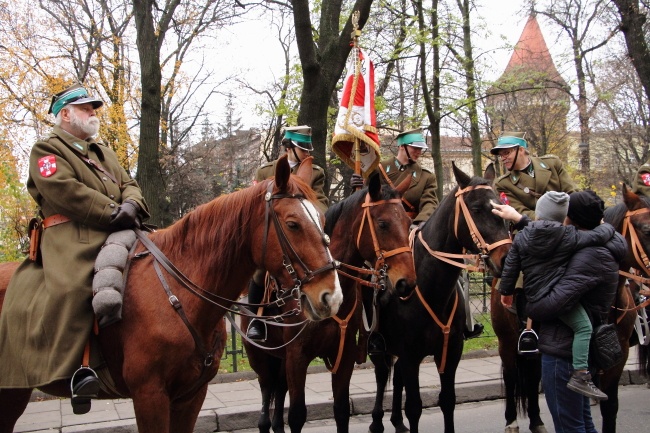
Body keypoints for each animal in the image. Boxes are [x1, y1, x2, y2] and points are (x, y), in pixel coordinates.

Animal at [0, 157, 342, 432]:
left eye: (324, 220)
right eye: (293, 224)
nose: (332, 297)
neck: (179, 294)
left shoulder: (191, 396)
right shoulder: (150, 395)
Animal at [239, 172, 416, 432]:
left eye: (407, 223)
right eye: (383, 224)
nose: (408, 282)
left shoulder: (344, 356)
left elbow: (341, 411)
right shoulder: (297, 356)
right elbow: (297, 415)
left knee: (278, 393)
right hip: (259, 358)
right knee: (266, 400)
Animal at [364, 162, 512, 432]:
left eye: (500, 207)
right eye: (476, 208)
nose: (505, 259)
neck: (431, 288)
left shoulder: (450, 352)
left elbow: (448, 401)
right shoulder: (411, 355)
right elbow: (414, 407)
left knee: (396, 376)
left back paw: (396, 421)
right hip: (377, 345)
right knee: (382, 375)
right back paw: (377, 421)